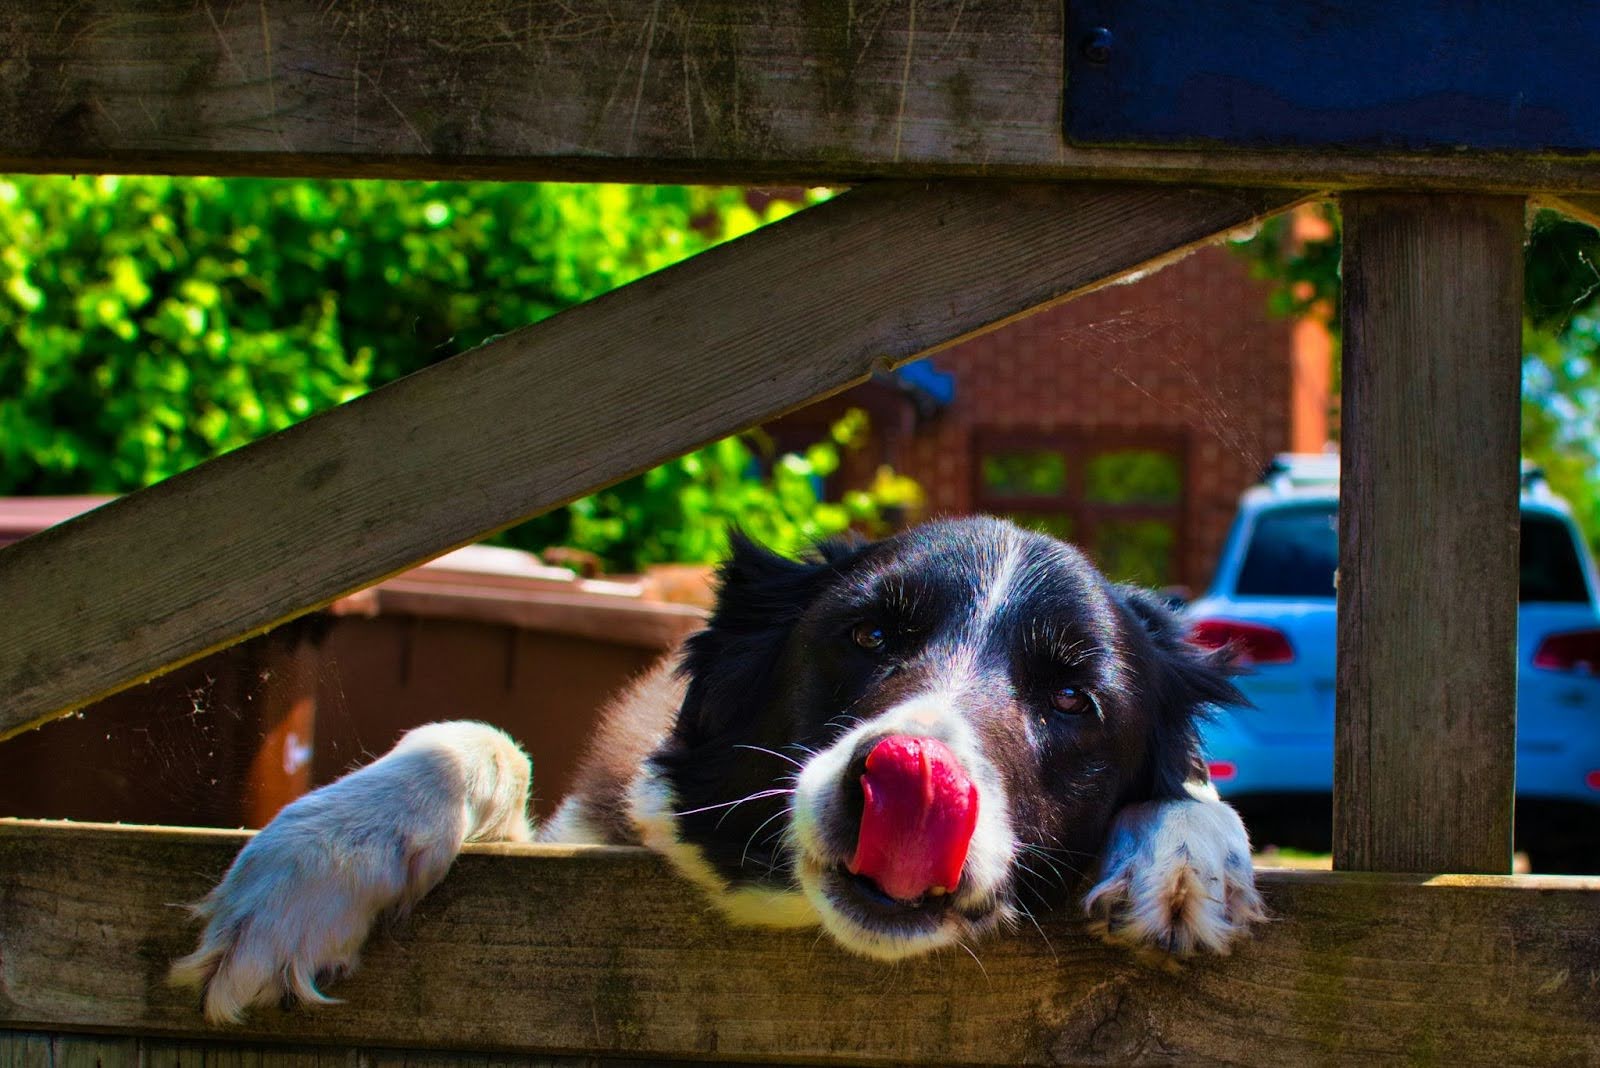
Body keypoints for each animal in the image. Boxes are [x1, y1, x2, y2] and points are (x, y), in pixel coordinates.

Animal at [172, 521, 1260, 1023]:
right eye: (869, 635)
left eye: (1071, 700)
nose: (906, 774)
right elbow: (483, 739)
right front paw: (316, 864)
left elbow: (1193, 790)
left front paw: (1186, 842)